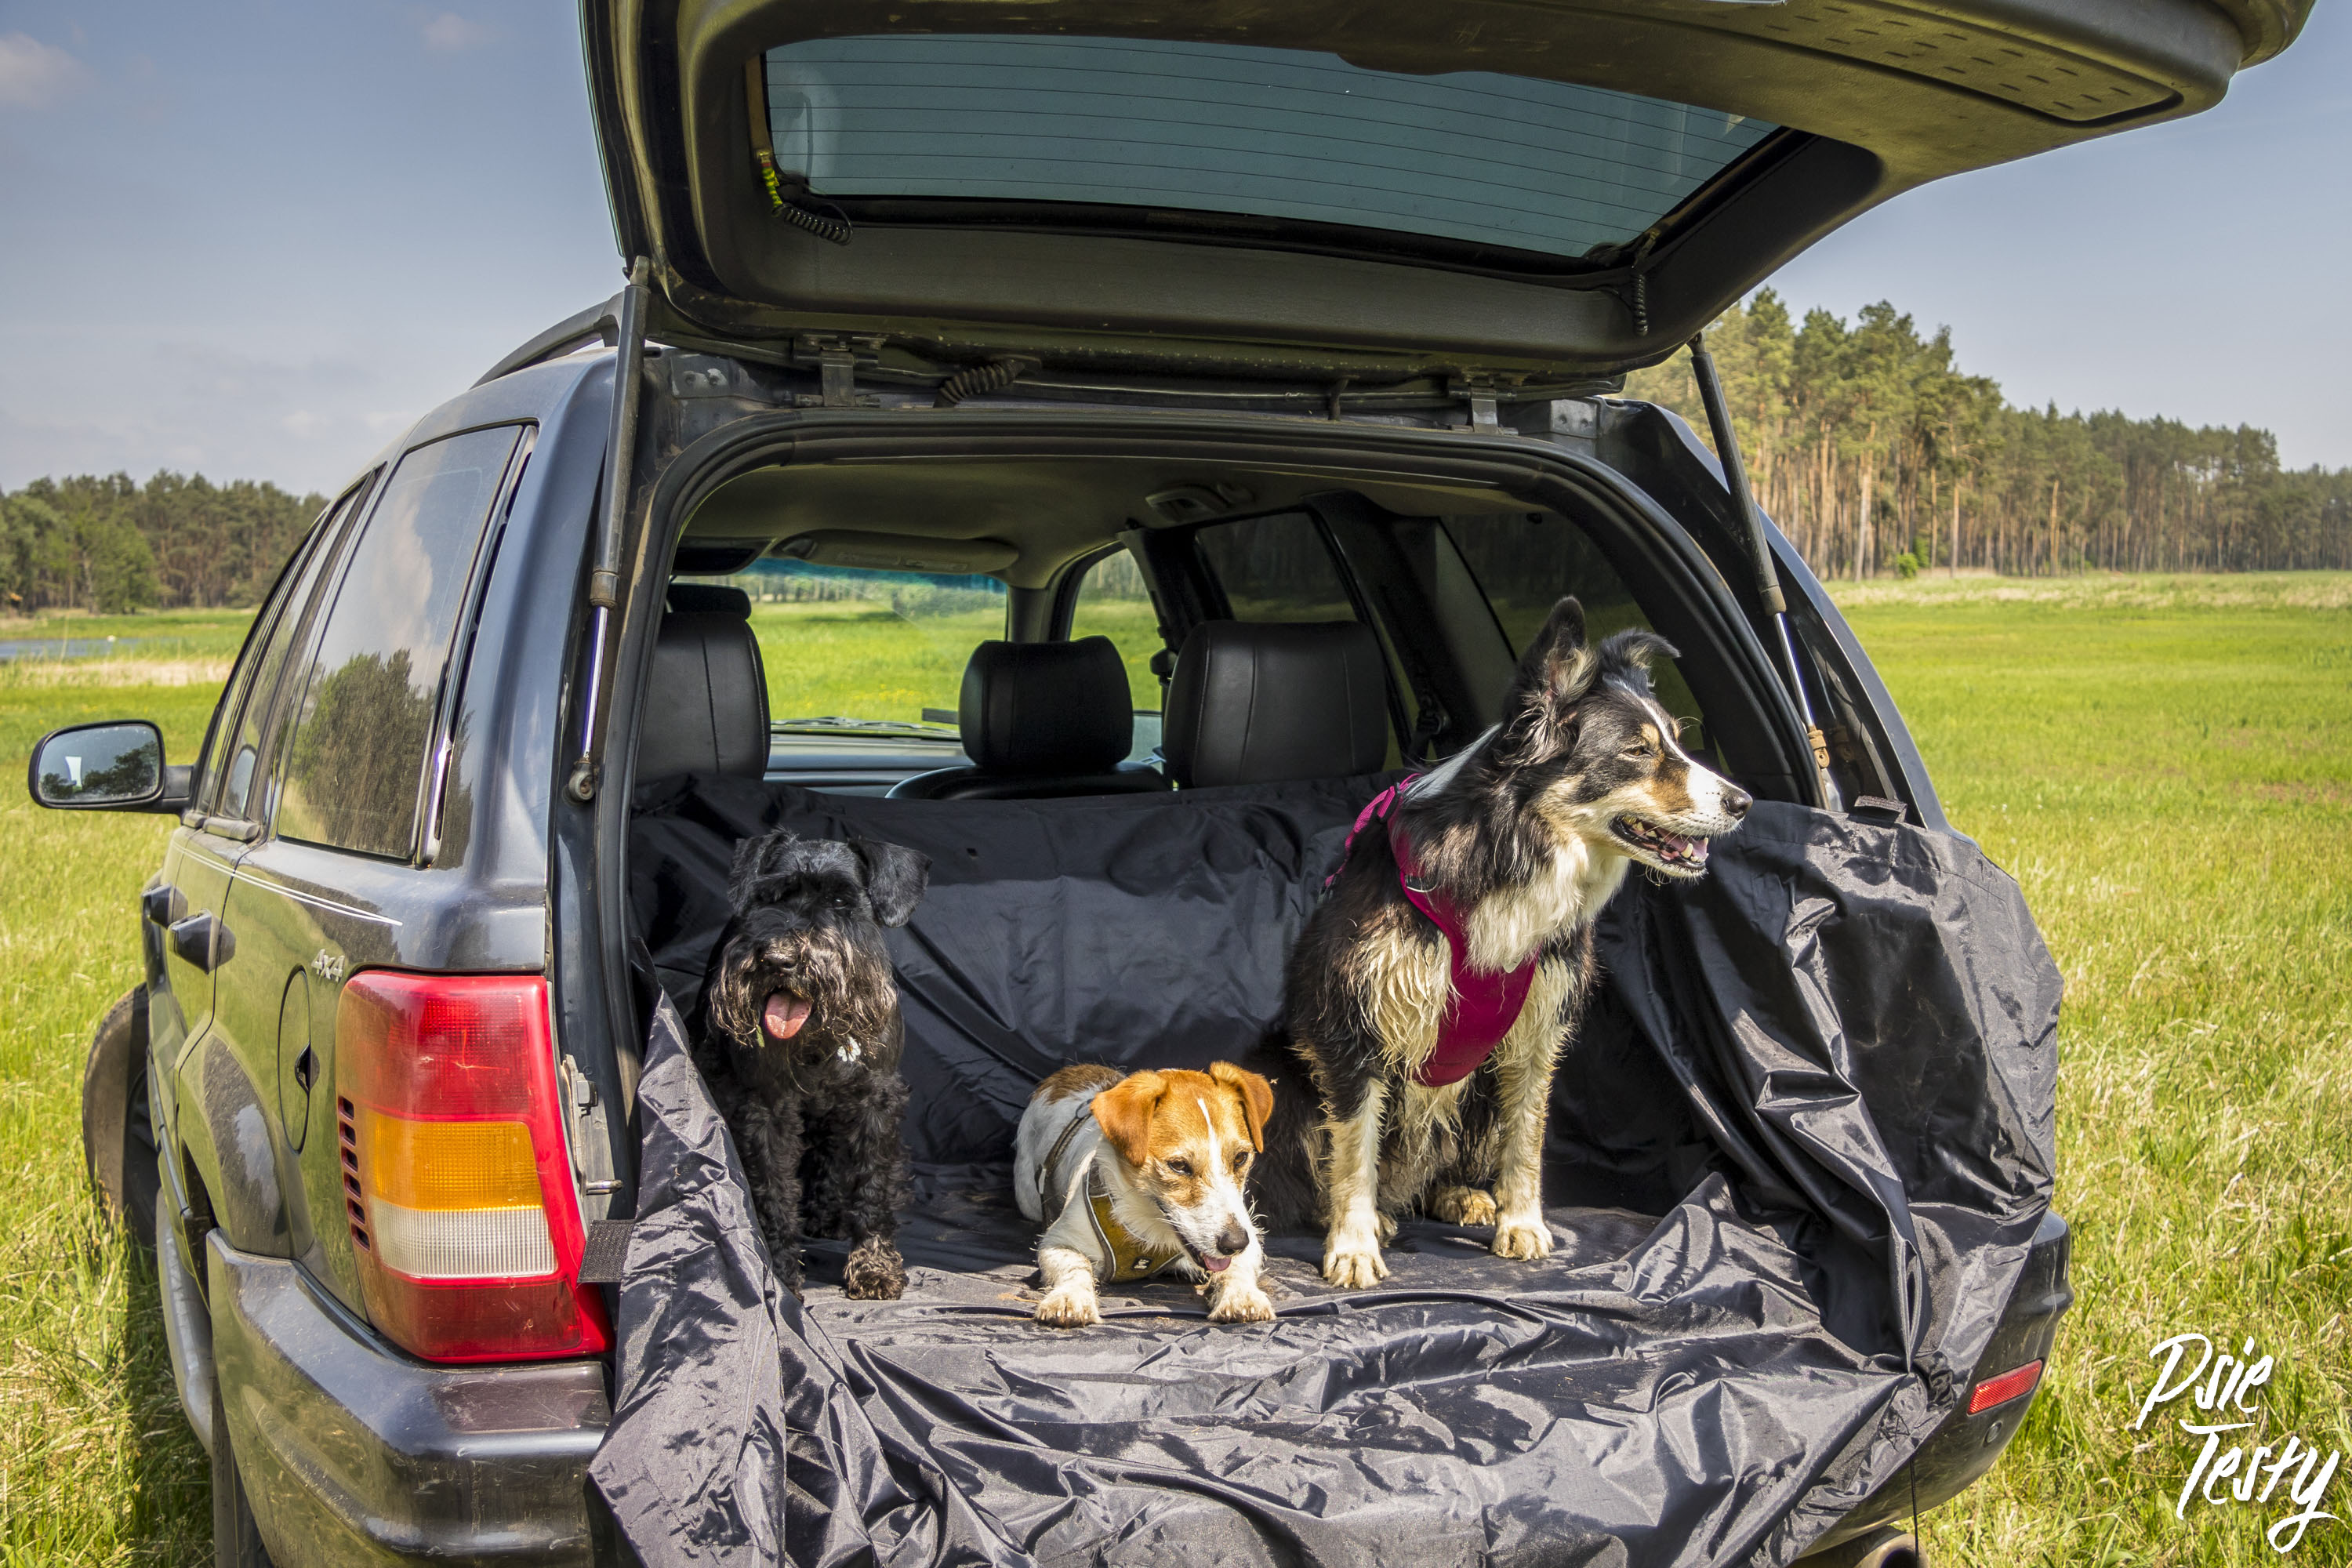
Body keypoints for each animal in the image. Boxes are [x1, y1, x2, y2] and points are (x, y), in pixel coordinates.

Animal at [1007, 1062, 1270, 1335]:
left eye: (1240, 1158)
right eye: (1179, 1165)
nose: (1235, 1243)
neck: (1148, 1224)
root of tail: (1072, 1071)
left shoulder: (1249, 1237)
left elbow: (1237, 1268)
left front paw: (1241, 1295)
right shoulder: (1057, 1242)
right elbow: (1076, 1265)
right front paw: (1070, 1297)